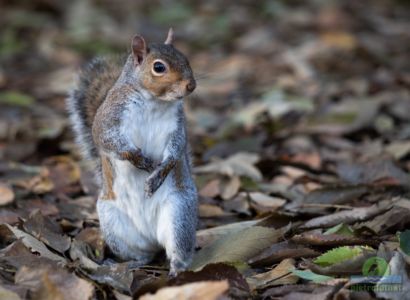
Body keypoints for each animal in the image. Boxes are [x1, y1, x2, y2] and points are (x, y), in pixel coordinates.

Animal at [66, 29, 198, 276]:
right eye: (159, 67)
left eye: (185, 58)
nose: (191, 85)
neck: (155, 101)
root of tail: (152, 236)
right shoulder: (108, 119)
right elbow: (109, 141)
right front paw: (141, 161)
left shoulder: (177, 127)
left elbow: (176, 151)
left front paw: (157, 175)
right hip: (115, 225)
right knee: (143, 255)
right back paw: (130, 263)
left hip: (179, 215)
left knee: (176, 247)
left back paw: (176, 268)